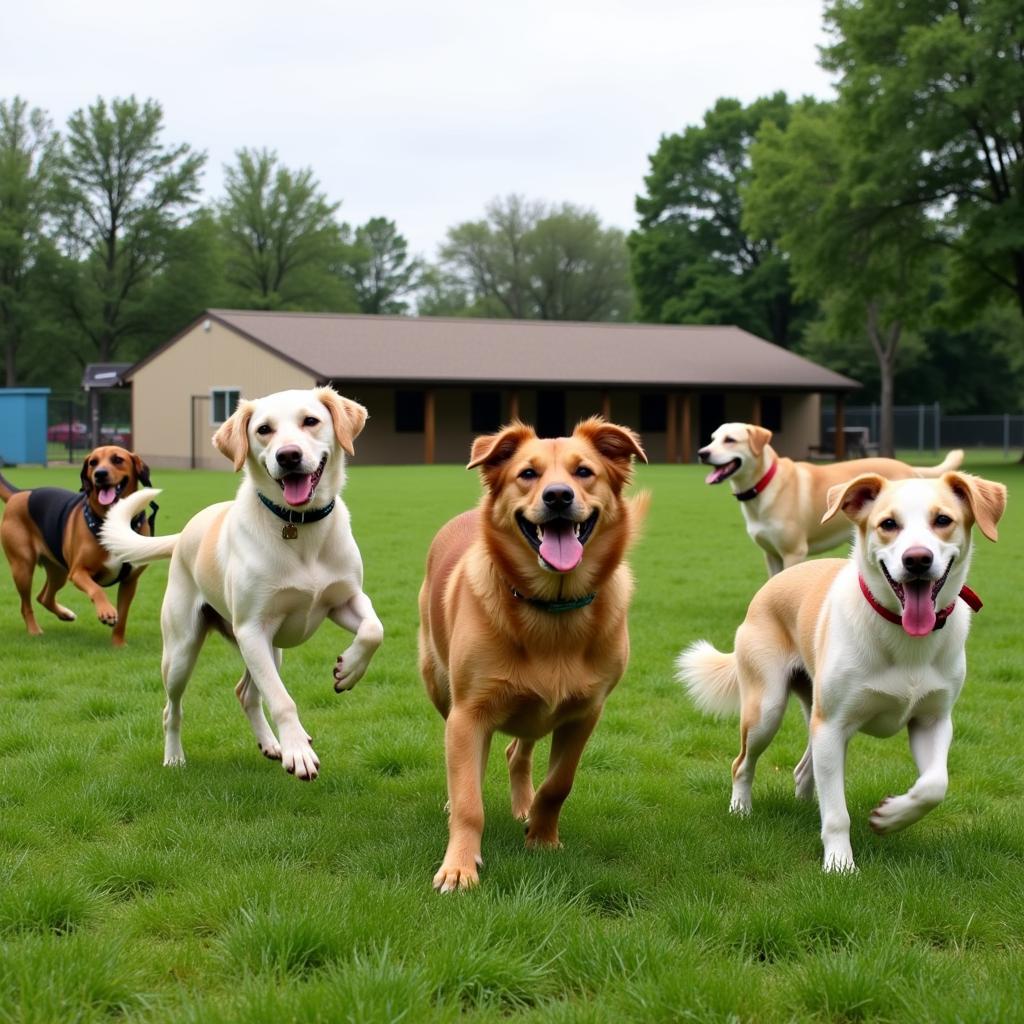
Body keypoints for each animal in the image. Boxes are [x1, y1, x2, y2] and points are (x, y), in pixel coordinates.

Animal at [0, 444, 155, 643]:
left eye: (117, 459)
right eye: (92, 463)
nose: (100, 474)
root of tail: (20, 493)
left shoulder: (130, 581)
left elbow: (123, 618)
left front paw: (118, 644)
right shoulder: (78, 572)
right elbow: (97, 590)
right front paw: (106, 611)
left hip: (58, 571)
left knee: (43, 597)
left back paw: (64, 614)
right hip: (23, 568)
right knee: (26, 605)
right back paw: (34, 630)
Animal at [101, 387, 382, 778]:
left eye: (310, 421)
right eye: (264, 429)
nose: (288, 456)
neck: (297, 526)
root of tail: (184, 534)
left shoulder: (344, 600)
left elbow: (373, 630)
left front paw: (348, 670)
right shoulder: (252, 628)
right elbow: (282, 699)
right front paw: (298, 751)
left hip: (269, 649)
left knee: (245, 692)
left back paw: (270, 744)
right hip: (183, 650)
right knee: (172, 708)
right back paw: (174, 757)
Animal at [417, 419, 647, 892]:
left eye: (584, 471)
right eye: (527, 473)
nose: (558, 496)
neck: (552, 608)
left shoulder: (585, 712)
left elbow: (559, 783)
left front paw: (541, 837)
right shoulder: (469, 713)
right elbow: (468, 797)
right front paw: (460, 866)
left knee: (517, 752)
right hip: (441, 685)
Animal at [675, 471, 1003, 872]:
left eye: (943, 520)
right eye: (888, 524)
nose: (917, 560)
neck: (903, 635)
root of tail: (772, 582)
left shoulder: (933, 720)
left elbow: (934, 786)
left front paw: (890, 816)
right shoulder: (831, 726)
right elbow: (837, 814)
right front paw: (839, 865)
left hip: (812, 710)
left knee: (804, 769)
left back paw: (804, 806)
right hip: (767, 708)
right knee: (742, 764)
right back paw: (741, 810)